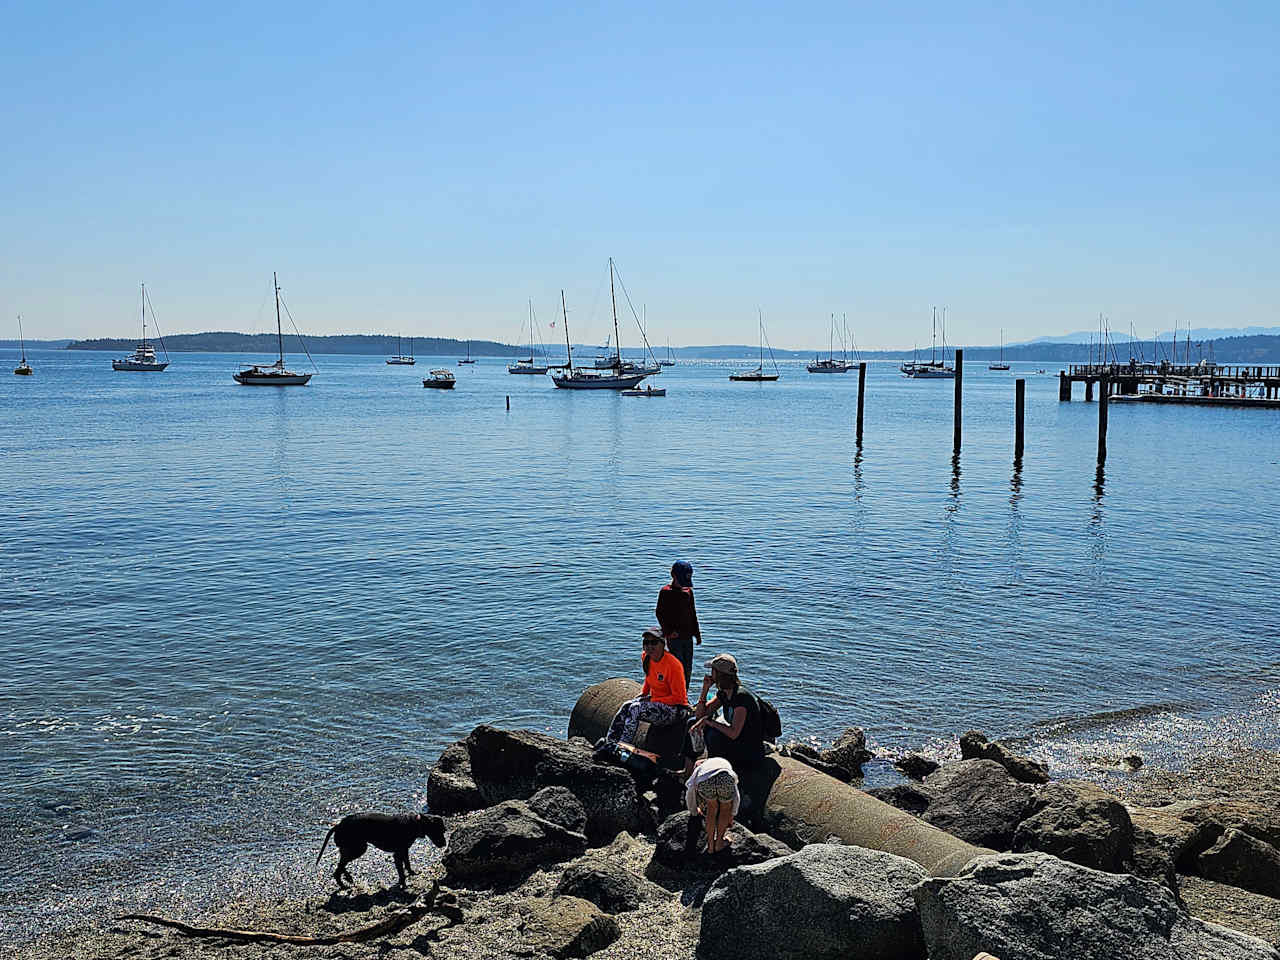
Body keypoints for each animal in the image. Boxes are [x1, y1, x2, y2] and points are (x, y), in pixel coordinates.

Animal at [314, 814, 445, 890]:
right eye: (438, 830)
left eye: (444, 830)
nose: (444, 844)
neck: (415, 823)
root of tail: (338, 825)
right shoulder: (398, 855)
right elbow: (401, 872)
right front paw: (403, 884)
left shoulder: (404, 851)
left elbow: (407, 864)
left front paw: (412, 873)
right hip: (358, 849)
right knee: (338, 869)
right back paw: (344, 884)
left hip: (352, 849)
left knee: (341, 865)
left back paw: (348, 877)